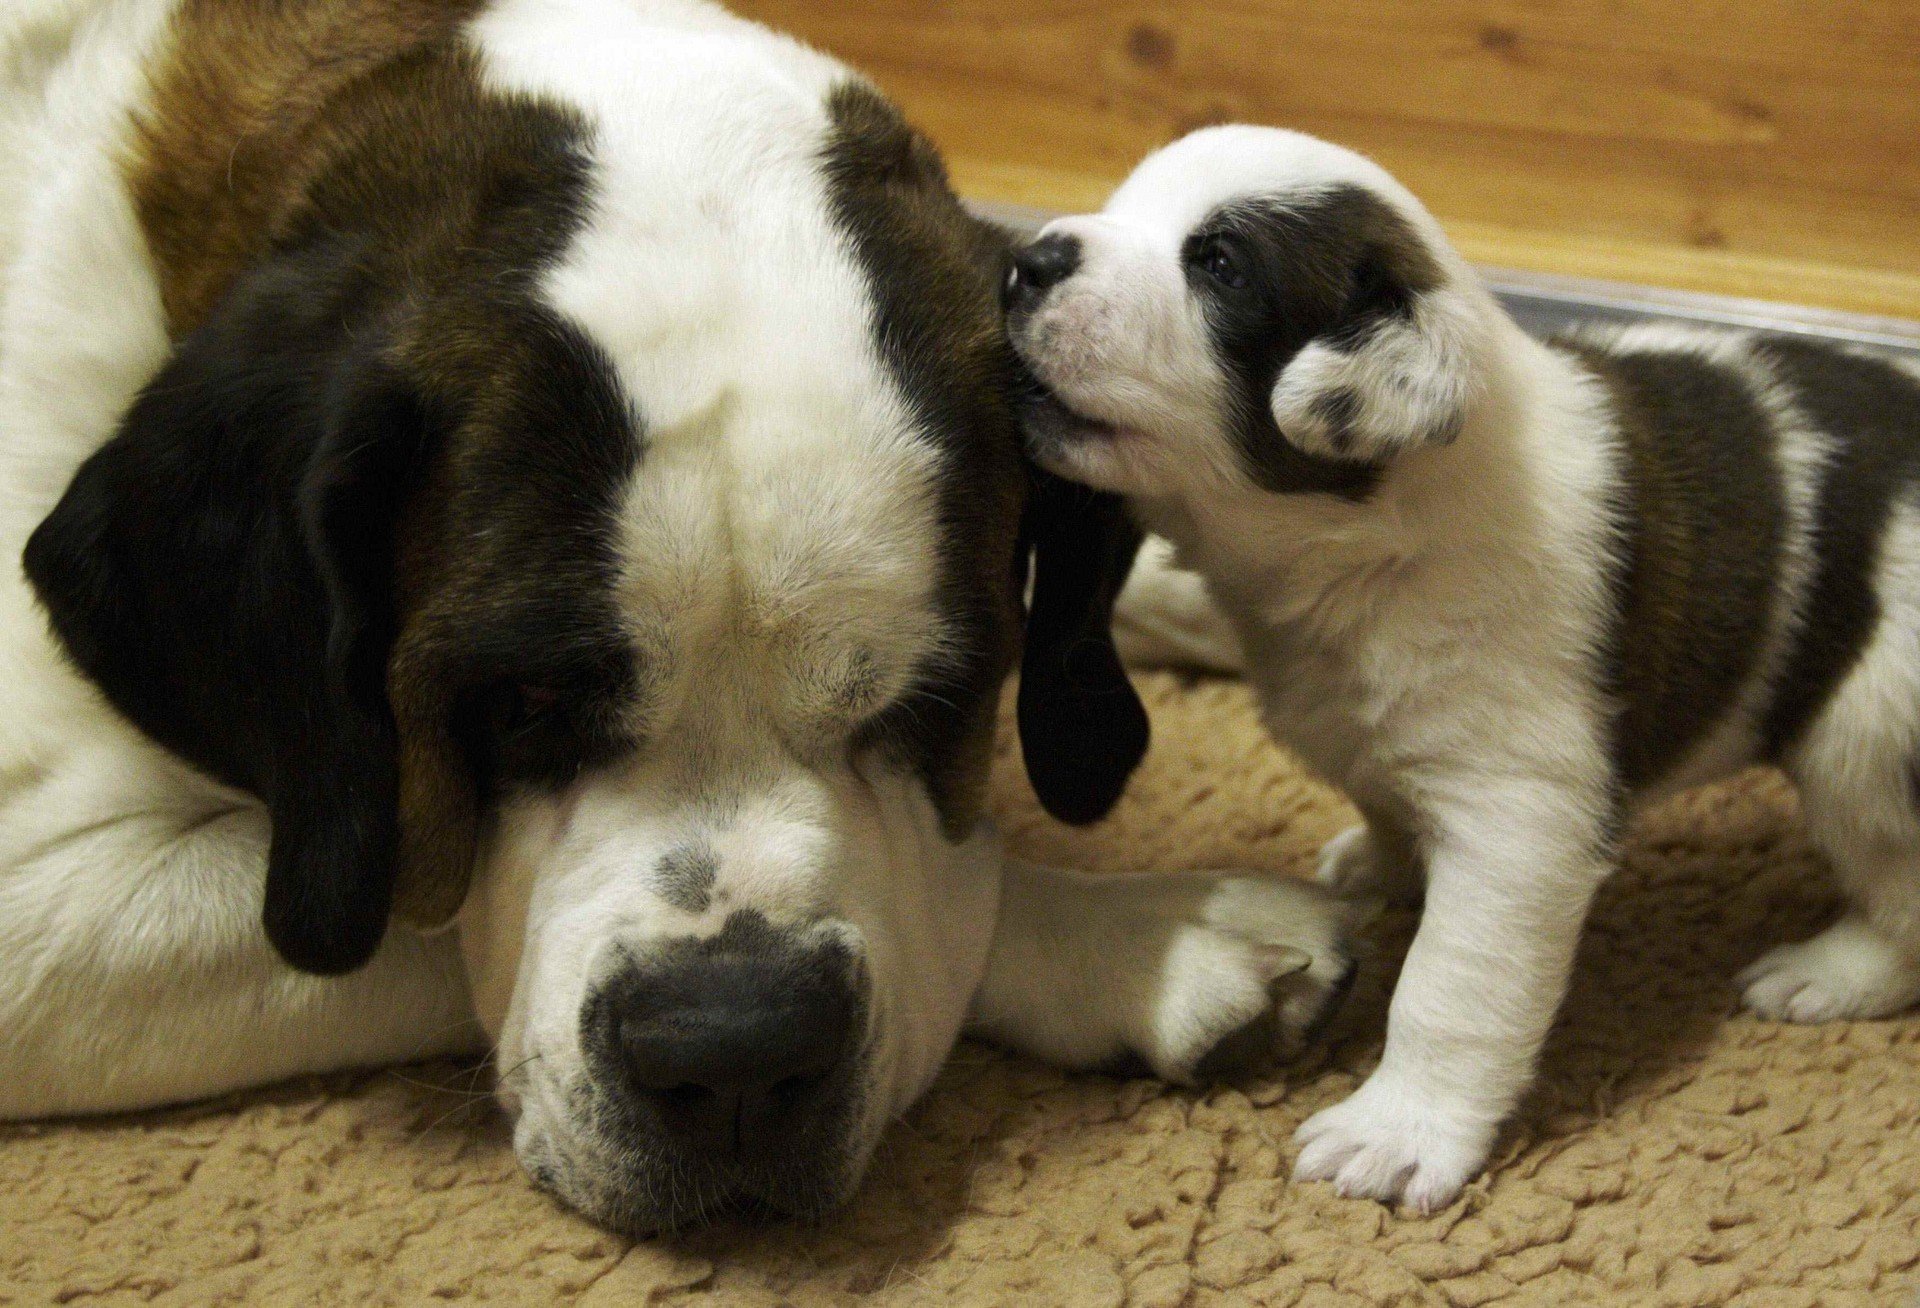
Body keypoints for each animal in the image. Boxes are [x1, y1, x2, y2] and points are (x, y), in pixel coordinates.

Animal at [0, 5, 1359, 1229]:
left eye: (929, 702)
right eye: (519, 706)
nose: (741, 1051)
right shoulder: (47, 898)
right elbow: (427, 909)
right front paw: (1149, 933)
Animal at [1006, 127, 1920, 1206]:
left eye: (1219, 265)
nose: (1023, 261)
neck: (1370, 545)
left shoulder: (1518, 815)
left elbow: (1450, 985)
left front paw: (1397, 1131)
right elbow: (1384, 796)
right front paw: (1382, 862)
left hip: (1870, 737)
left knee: (1902, 890)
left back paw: (1830, 970)